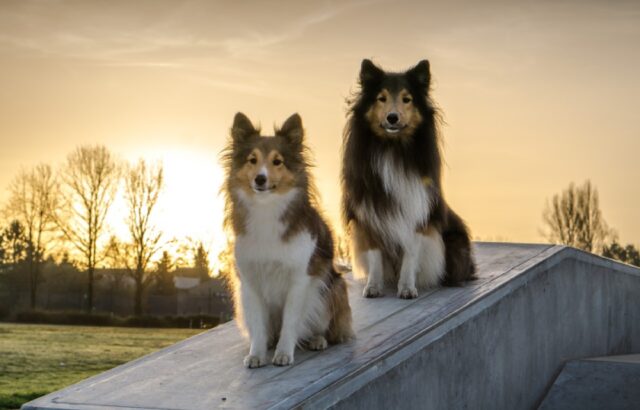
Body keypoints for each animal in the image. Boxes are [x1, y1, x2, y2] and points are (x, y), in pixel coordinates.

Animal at [224, 112, 356, 368]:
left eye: (278, 161)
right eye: (252, 160)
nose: (260, 179)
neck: (267, 208)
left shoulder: (299, 280)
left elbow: (291, 322)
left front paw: (284, 353)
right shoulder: (250, 282)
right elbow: (259, 325)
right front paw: (257, 354)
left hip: (330, 288)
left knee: (327, 330)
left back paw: (317, 339)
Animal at [340, 58, 476, 298]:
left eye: (407, 99)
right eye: (381, 98)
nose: (392, 118)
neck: (393, 149)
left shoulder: (416, 212)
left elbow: (410, 254)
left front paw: (407, 288)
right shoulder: (369, 213)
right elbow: (375, 255)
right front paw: (373, 286)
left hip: (455, 245)